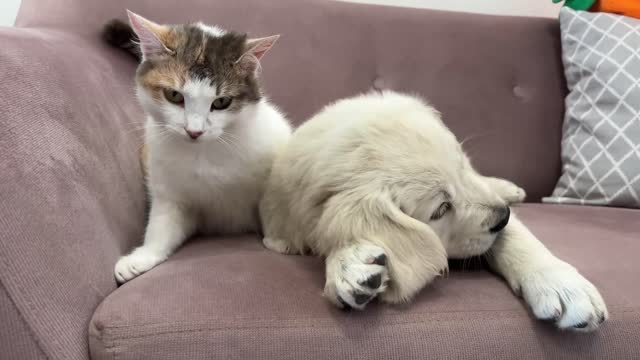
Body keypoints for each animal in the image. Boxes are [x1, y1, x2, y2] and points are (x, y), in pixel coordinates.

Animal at [104, 11, 292, 284]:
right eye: (174, 95)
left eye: (222, 102)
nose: (194, 131)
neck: (204, 152)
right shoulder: (170, 191)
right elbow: (163, 225)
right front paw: (143, 256)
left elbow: (272, 203)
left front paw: (279, 238)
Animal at [262, 90, 608, 332]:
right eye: (441, 209)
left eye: (462, 165)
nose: (503, 216)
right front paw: (346, 266)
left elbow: (518, 239)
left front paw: (561, 284)